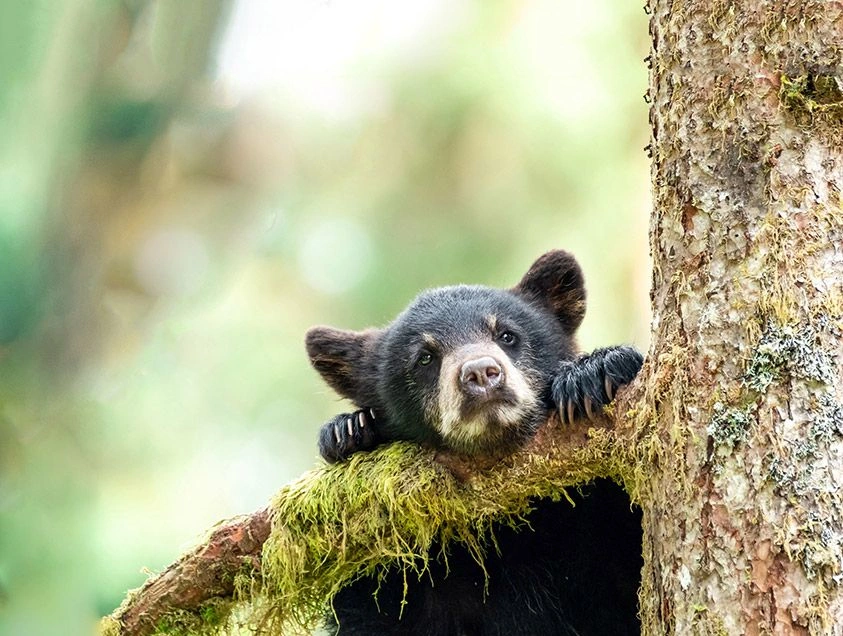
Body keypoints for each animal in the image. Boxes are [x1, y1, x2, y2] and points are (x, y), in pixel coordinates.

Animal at [305, 250, 644, 635]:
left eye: (507, 335)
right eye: (425, 357)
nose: (481, 373)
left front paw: (594, 372)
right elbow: (374, 611)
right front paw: (348, 432)